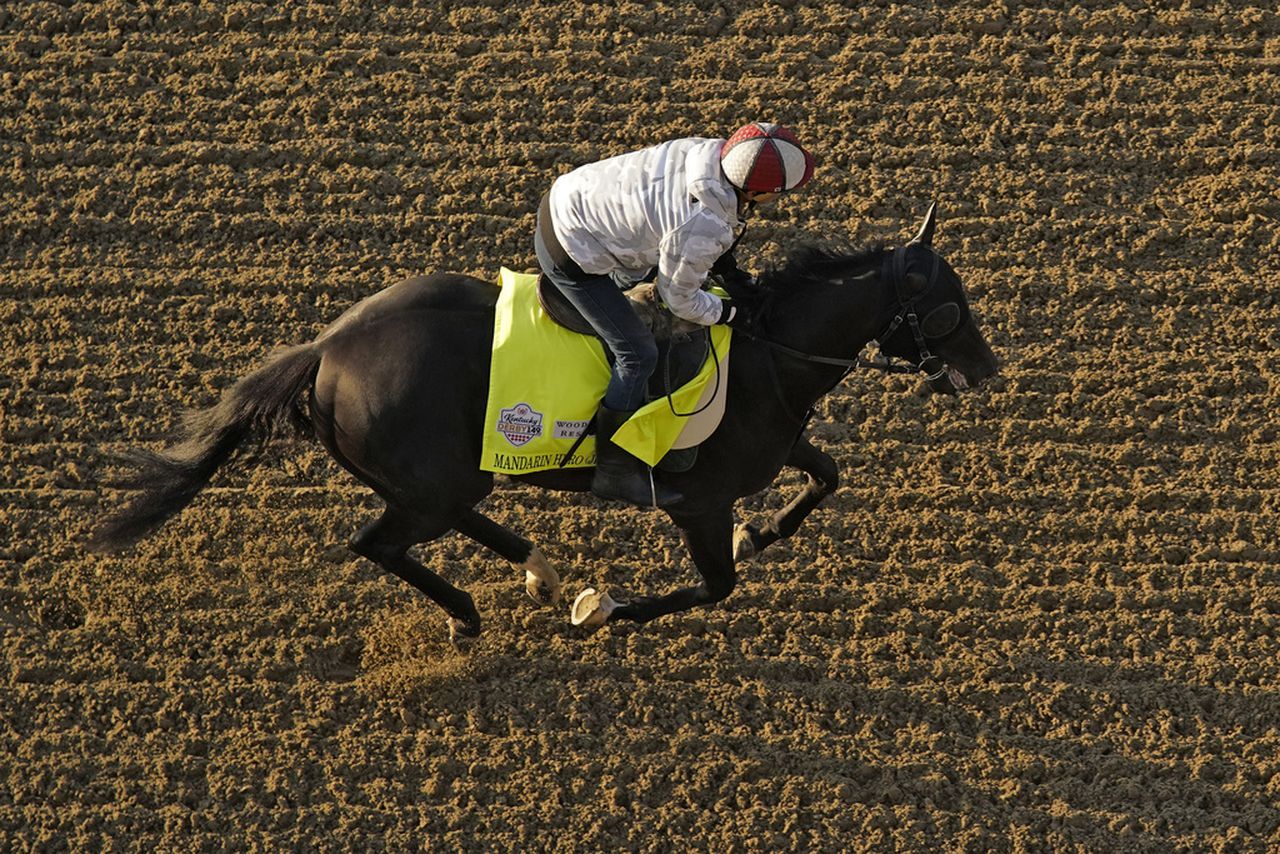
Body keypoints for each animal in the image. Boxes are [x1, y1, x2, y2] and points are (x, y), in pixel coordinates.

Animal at [92, 204, 998, 640]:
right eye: (948, 305)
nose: (989, 369)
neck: (767, 352)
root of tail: (327, 350)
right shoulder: (698, 502)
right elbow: (715, 586)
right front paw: (604, 610)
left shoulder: (771, 447)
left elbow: (826, 477)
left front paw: (763, 532)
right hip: (429, 482)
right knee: (378, 543)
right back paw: (475, 613)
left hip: (446, 476)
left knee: (453, 521)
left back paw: (542, 572)